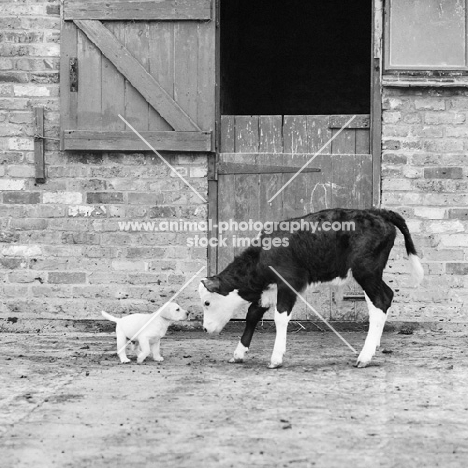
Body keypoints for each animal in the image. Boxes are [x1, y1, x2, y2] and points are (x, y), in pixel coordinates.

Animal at [197, 209, 424, 370]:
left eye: (207, 302)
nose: (205, 329)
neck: (263, 255)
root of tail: (377, 212)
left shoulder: (288, 283)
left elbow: (280, 317)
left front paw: (276, 358)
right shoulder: (269, 289)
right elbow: (252, 314)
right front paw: (238, 354)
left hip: (366, 271)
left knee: (381, 300)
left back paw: (364, 357)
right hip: (371, 275)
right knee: (382, 300)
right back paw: (374, 346)